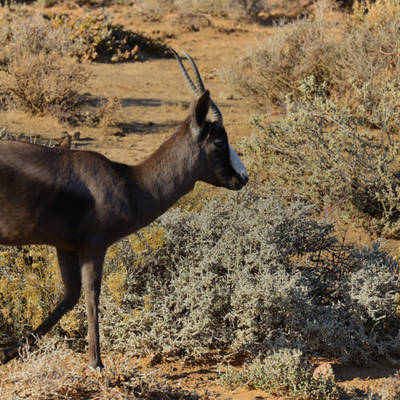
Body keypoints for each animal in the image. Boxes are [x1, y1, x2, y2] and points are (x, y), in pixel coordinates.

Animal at [0, 49, 248, 369]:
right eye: (219, 141)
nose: (243, 177)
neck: (131, 182)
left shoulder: (65, 247)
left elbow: (69, 296)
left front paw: (7, 353)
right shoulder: (94, 245)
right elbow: (92, 295)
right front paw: (96, 362)